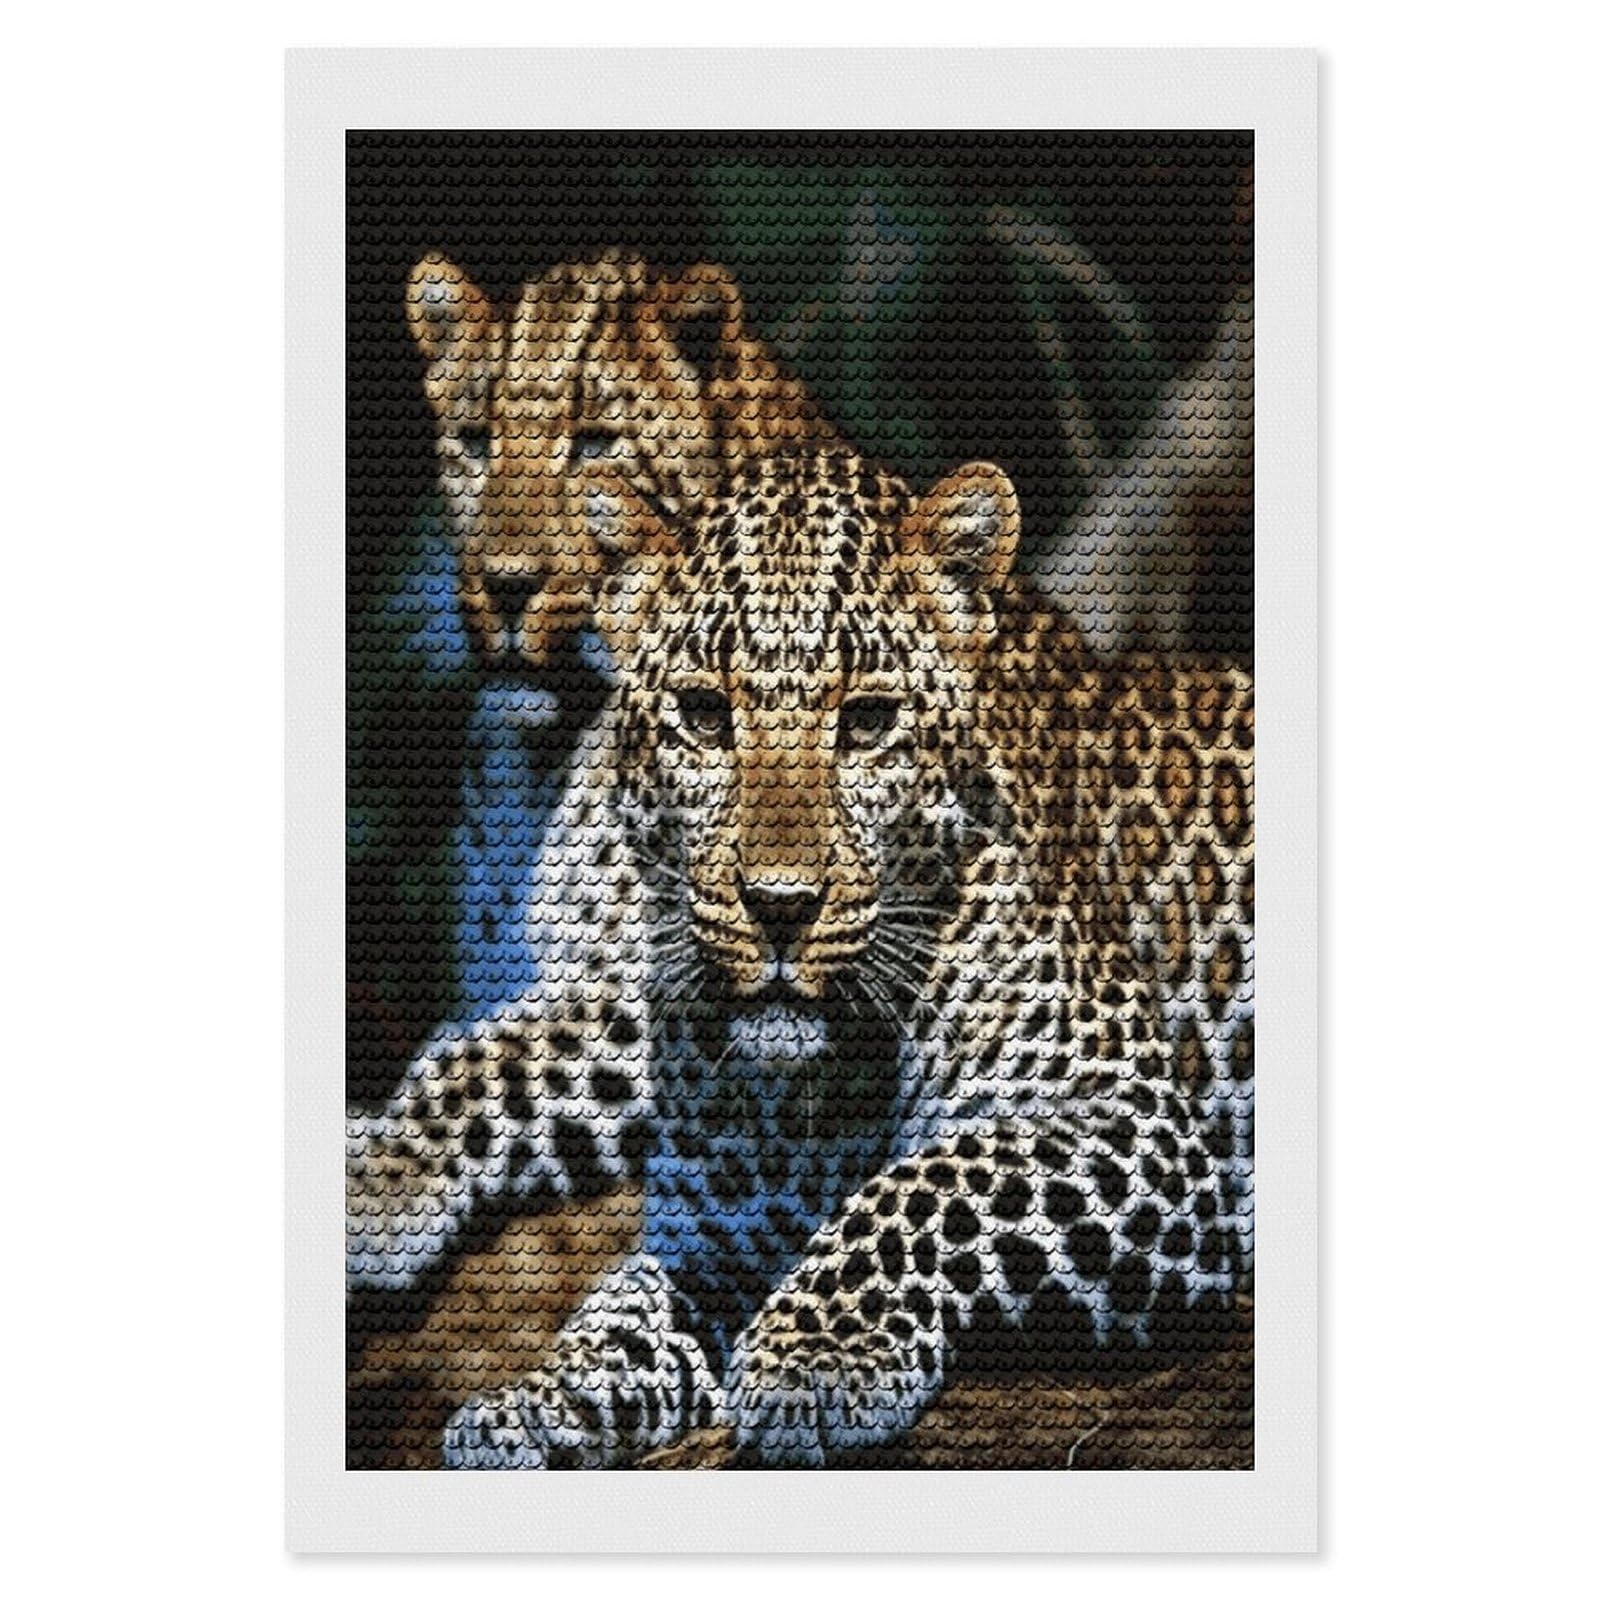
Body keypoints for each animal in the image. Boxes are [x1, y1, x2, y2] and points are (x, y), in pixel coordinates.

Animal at [347, 442, 1254, 1468]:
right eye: (705, 716)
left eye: (867, 722)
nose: (780, 907)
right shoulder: (713, 1242)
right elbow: (618, 1312)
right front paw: (523, 1408)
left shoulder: (1145, 1124)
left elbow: (940, 1177)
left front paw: (813, 1354)